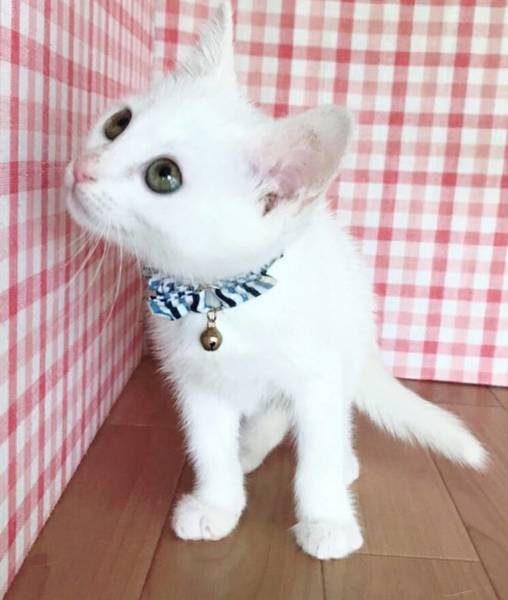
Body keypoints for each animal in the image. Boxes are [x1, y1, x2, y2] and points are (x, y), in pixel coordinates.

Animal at [65, 2, 486, 560]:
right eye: (118, 123)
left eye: (163, 175)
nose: (82, 168)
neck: (222, 298)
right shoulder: (197, 383)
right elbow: (209, 448)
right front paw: (218, 504)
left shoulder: (318, 377)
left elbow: (318, 454)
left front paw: (327, 519)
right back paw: (249, 447)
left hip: (346, 341)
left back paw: (335, 461)